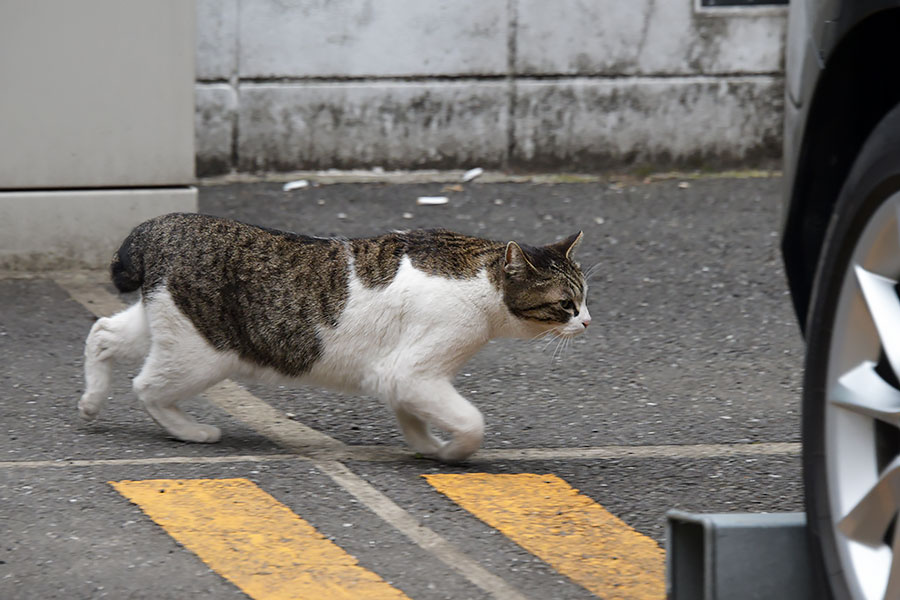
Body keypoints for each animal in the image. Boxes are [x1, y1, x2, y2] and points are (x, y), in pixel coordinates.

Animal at [79, 213, 592, 462]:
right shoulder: (412, 372)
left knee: (102, 333)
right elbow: (471, 423)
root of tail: (161, 226)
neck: (482, 278)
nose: (588, 322)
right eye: (567, 304)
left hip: (162, 320)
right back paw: (190, 431)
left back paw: (90, 401)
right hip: (201, 352)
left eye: (586, 298)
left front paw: (428, 447)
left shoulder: (402, 378)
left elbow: (413, 418)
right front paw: (453, 453)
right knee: (146, 386)